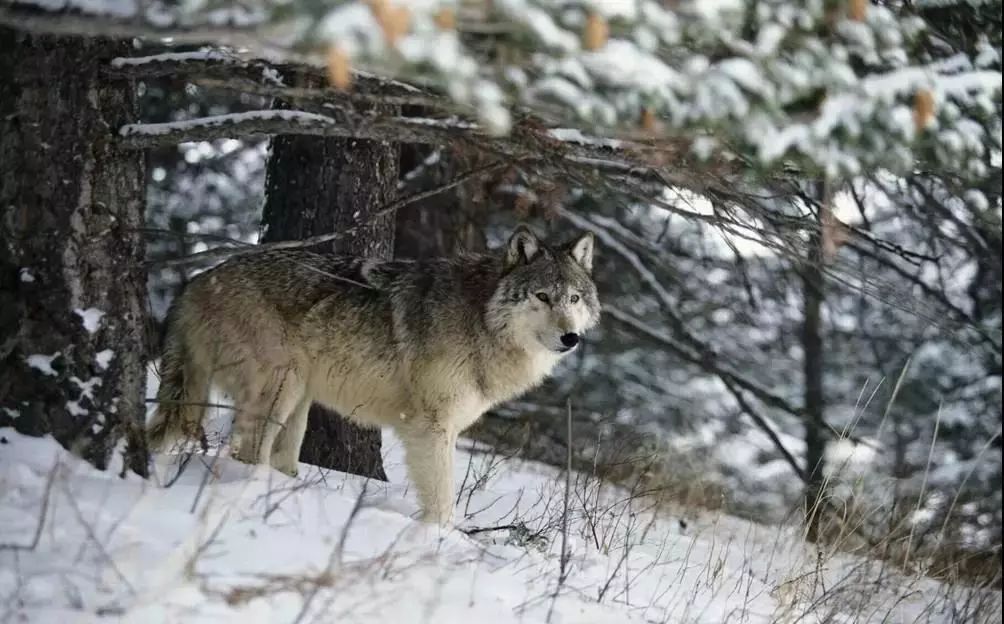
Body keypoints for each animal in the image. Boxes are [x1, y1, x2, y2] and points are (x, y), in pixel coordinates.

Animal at [146, 227, 598, 525]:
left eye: (574, 298)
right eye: (542, 296)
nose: (570, 338)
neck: (480, 318)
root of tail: (196, 281)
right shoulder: (431, 428)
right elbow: (443, 501)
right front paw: (441, 541)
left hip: (299, 400)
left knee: (278, 457)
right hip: (282, 388)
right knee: (245, 452)